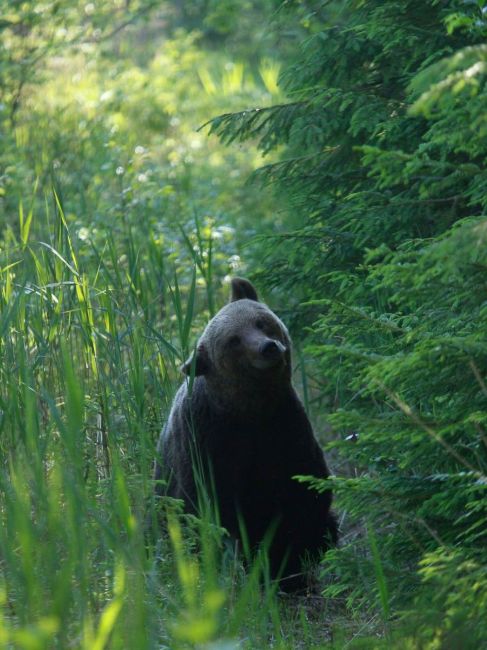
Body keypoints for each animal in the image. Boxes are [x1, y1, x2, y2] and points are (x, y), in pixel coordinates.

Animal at [154, 278, 338, 588]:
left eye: (260, 322)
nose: (268, 348)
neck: (251, 412)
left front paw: (290, 565)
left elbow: (305, 495)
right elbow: (209, 509)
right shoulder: (208, 444)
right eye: (234, 341)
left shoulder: (287, 430)